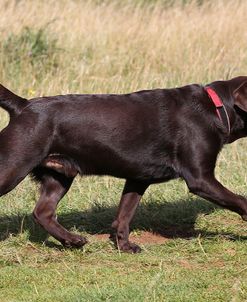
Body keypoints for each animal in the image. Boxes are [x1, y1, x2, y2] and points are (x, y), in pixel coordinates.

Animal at [0, 76, 247, 252]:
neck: (217, 107)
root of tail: (23, 106)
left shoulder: (138, 179)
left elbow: (124, 215)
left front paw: (124, 246)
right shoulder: (200, 178)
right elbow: (241, 201)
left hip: (59, 175)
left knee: (43, 212)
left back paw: (73, 241)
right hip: (13, 167)